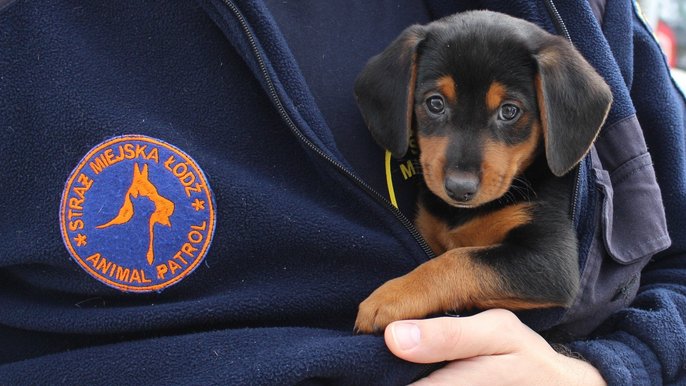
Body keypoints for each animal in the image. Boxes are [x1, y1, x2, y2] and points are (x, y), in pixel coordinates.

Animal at [354, 10, 612, 334]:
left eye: (509, 111)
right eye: (435, 103)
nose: (459, 188)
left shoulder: (553, 260)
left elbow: (459, 260)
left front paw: (392, 295)